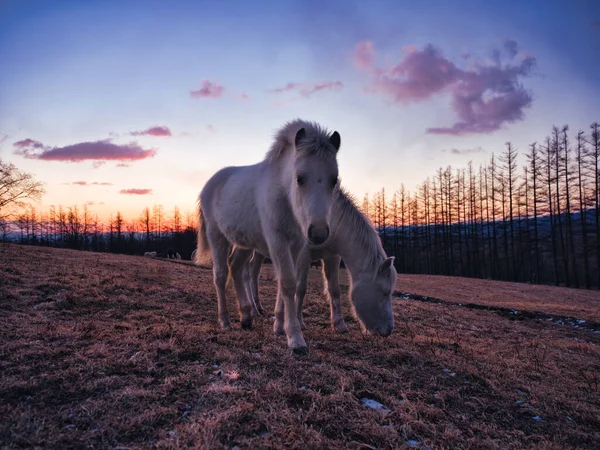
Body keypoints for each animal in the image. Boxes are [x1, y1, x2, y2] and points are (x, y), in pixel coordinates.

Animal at [195, 119, 340, 356]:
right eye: (299, 178)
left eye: (334, 180)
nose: (318, 233)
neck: (283, 195)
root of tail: (210, 184)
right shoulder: (277, 242)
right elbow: (288, 283)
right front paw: (295, 338)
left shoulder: (296, 246)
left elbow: (284, 283)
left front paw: (279, 327)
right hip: (217, 237)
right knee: (220, 275)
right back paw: (225, 321)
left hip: (244, 244)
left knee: (236, 268)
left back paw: (246, 316)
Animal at [241, 186, 396, 338]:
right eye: (385, 292)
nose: (389, 330)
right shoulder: (303, 256)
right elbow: (301, 288)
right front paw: (299, 322)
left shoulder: (332, 257)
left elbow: (334, 290)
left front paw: (339, 324)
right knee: (246, 274)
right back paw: (252, 309)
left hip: (259, 252)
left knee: (253, 273)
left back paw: (257, 307)